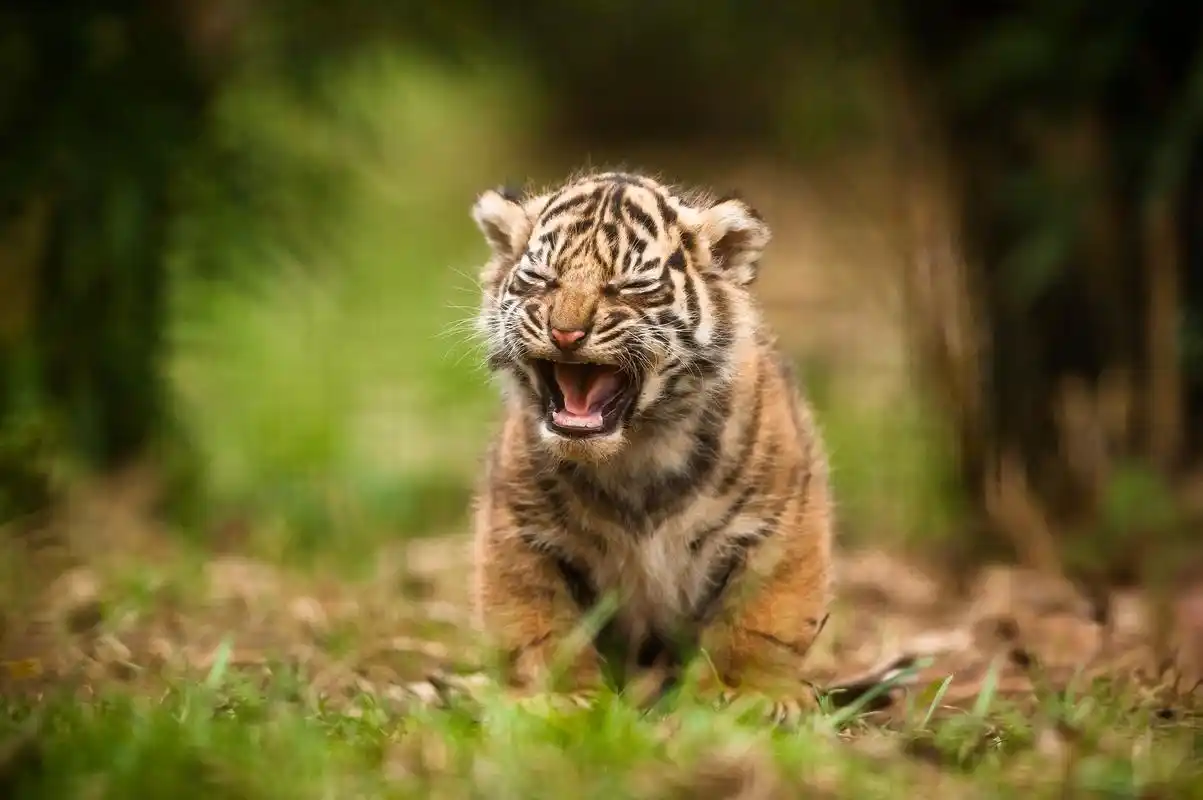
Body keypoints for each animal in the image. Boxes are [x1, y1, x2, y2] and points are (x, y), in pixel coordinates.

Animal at [455, 169, 836, 726]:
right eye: (542, 280)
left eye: (629, 286)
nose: (565, 333)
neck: (635, 452)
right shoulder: (519, 530)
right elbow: (540, 625)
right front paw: (561, 698)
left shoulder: (779, 521)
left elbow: (760, 618)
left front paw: (750, 694)